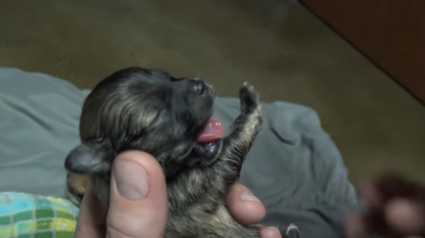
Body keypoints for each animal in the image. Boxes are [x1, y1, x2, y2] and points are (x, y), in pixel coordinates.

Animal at [65, 67, 298, 238]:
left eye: (168, 75)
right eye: (158, 115)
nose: (200, 85)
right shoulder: (204, 180)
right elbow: (240, 134)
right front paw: (249, 100)